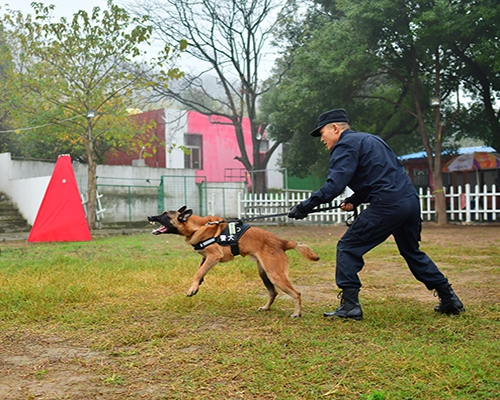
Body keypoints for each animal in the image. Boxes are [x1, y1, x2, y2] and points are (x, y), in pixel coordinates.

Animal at [148, 208, 320, 318]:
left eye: (164, 215)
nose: (149, 217)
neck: (198, 227)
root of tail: (282, 242)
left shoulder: (213, 257)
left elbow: (198, 272)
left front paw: (192, 288)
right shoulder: (205, 257)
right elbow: (200, 269)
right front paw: (198, 284)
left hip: (275, 275)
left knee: (296, 294)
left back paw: (297, 313)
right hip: (264, 274)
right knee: (273, 292)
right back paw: (266, 308)